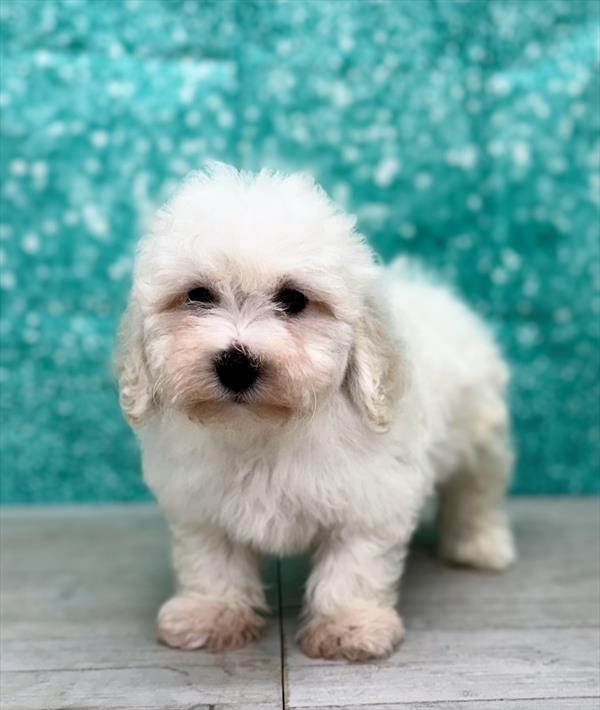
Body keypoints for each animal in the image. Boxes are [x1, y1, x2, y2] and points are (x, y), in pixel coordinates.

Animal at [117, 164, 516, 664]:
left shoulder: (371, 498)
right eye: (198, 295)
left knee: (476, 488)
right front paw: (211, 614)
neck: (264, 427)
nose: (236, 364)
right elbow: (210, 558)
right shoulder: (199, 502)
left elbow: (353, 564)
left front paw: (348, 626)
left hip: (481, 430)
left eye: (293, 300)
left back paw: (479, 545)